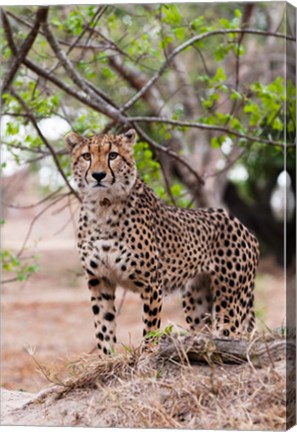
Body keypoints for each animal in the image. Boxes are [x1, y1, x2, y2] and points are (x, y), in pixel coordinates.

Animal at [65, 127, 260, 354]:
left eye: (112, 155)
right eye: (87, 156)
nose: (98, 175)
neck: (102, 206)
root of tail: (243, 226)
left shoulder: (151, 283)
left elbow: (150, 325)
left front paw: (148, 352)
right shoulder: (99, 280)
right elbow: (103, 326)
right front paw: (107, 357)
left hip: (229, 302)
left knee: (233, 333)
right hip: (197, 300)